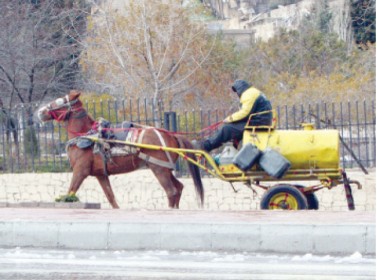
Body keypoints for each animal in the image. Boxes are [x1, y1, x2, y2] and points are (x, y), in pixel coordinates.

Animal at [36, 89, 204, 208]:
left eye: (59, 100)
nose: (40, 112)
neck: (87, 134)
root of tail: (170, 134)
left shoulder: (80, 171)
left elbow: (70, 192)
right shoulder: (101, 175)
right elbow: (111, 199)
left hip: (159, 169)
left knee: (171, 191)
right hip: (165, 169)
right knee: (179, 188)